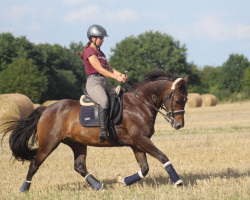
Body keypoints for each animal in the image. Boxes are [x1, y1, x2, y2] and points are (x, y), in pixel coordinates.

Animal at [0, 70, 188, 192]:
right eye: (179, 100)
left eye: (186, 100)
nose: (179, 125)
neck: (140, 104)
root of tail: (46, 109)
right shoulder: (141, 140)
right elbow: (163, 157)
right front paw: (178, 182)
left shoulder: (137, 143)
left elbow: (145, 168)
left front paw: (122, 180)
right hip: (49, 143)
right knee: (34, 164)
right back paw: (24, 188)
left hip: (77, 143)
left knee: (79, 166)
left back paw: (98, 186)